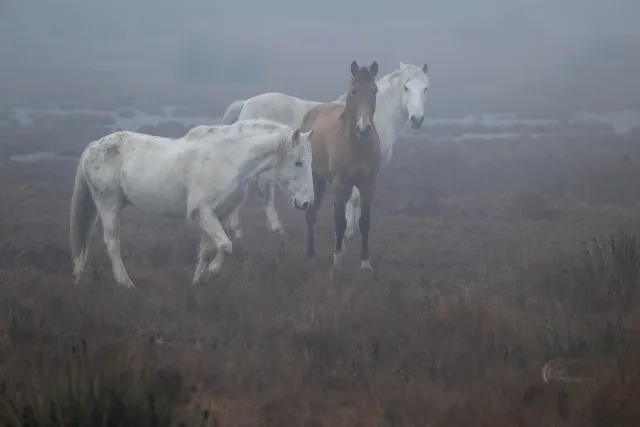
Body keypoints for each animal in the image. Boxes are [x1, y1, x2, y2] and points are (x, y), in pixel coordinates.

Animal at [70, 118, 316, 290]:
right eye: (298, 162)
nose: (306, 202)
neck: (228, 159)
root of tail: (93, 147)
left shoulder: (216, 215)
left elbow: (207, 249)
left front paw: (199, 279)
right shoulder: (203, 212)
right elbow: (225, 245)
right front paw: (211, 272)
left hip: (100, 208)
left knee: (86, 239)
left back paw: (81, 276)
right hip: (109, 206)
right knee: (112, 244)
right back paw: (126, 283)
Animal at [221, 62, 430, 244]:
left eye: (426, 88)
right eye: (406, 87)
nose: (417, 119)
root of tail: (245, 104)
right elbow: (354, 198)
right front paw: (348, 231)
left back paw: (237, 230)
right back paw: (272, 229)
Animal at [300, 59, 380, 270]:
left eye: (374, 90)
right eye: (354, 91)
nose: (364, 128)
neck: (357, 146)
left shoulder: (368, 184)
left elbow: (364, 222)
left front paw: (365, 262)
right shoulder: (340, 183)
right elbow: (340, 222)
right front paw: (337, 262)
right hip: (317, 178)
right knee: (312, 214)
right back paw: (310, 253)